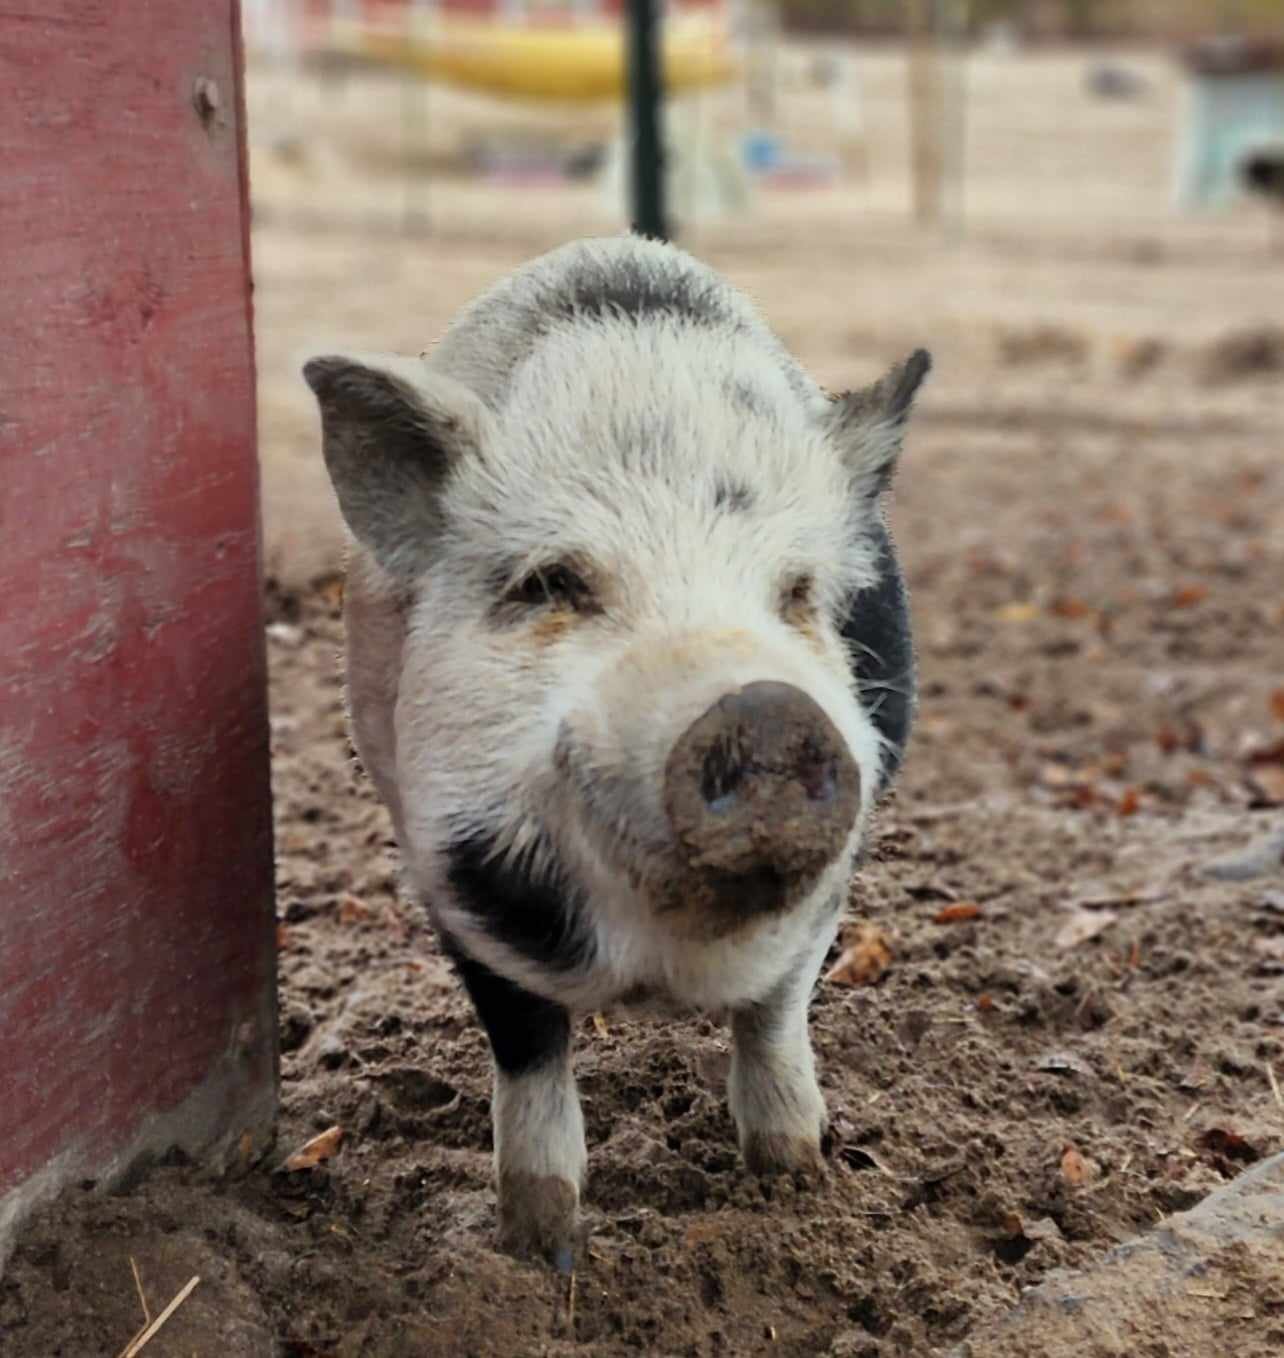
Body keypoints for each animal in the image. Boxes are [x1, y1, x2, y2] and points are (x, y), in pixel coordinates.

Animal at [303, 234, 929, 1270]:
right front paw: (543, 1250)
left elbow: (775, 1013)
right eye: (553, 583)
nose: (762, 709)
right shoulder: (446, 869)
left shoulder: (843, 859)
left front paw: (794, 1183)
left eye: (797, 592)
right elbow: (527, 1045)